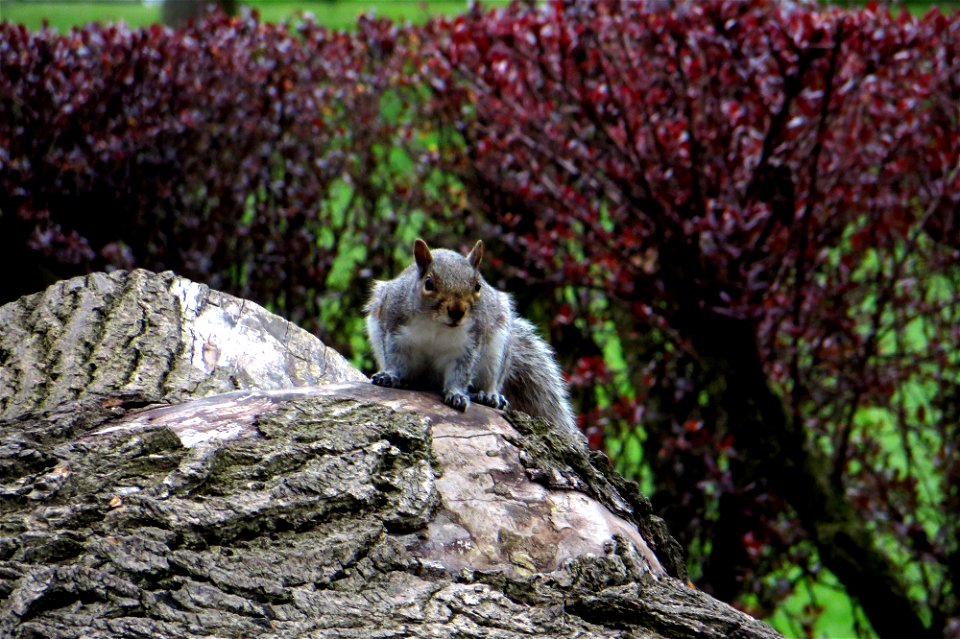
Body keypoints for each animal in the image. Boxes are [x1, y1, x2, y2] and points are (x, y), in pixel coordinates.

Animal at [364, 238, 580, 442]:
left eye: (477, 286)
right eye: (428, 284)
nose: (457, 311)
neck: (436, 325)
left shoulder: (468, 346)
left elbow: (461, 373)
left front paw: (457, 394)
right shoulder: (395, 330)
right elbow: (395, 359)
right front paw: (390, 376)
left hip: (496, 353)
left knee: (491, 380)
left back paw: (488, 395)